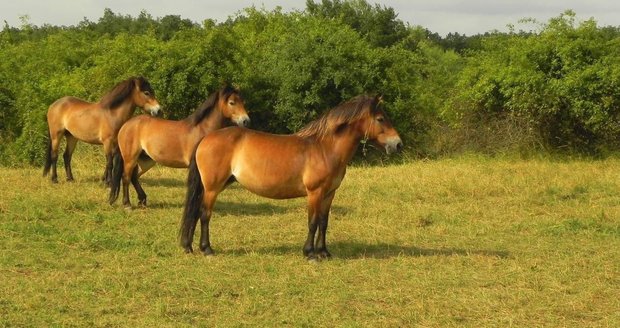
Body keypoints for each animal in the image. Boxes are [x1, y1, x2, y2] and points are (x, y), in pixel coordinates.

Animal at [109, 84, 249, 208]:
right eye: (232, 102)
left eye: (242, 102)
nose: (246, 120)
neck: (202, 130)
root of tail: (126, 125)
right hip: (130, 158)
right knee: (126, 177)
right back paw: (127, 204)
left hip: (146, 161)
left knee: (134, 177)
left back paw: (142, 200)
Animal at [179, 94, 402, 258]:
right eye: (381, 119)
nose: (398, 144)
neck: (325, 148)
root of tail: (206, 138)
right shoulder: (315, 193)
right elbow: (313, 222)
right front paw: (310, 253)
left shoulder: (329, 194)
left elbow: (324, 222)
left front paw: (324, 252)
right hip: (212, 188)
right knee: (205, 214)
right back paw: (207, 249)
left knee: (196, 212)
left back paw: (189, 246)